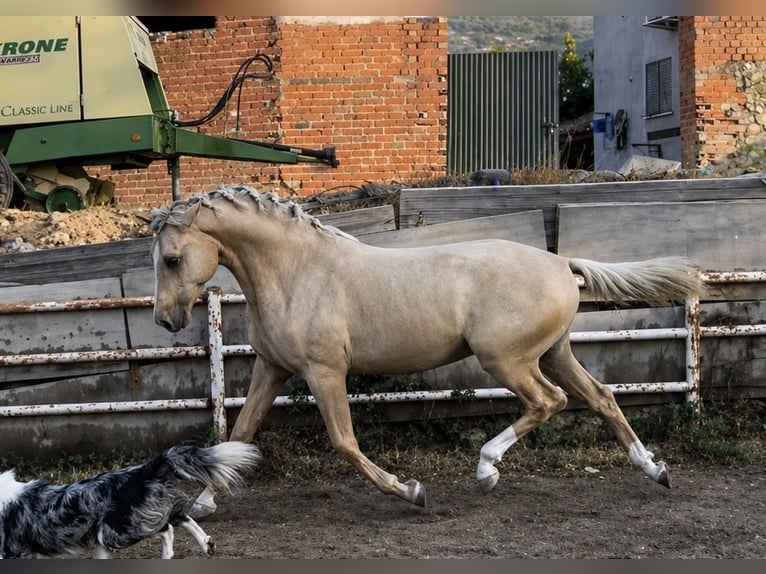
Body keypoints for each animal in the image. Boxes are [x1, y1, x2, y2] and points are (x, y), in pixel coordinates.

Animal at [150, 184, 702, 516]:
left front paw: (410, 491)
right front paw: (201, 505)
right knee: (602, 398)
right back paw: (655, 470)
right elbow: (238, 434)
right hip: (554, 354)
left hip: (507, 359)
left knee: (549, 402)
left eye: (173, 259)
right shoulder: (273, 369)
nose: (165, 319)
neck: (296, 271)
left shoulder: (324, 371)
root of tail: (561, 263)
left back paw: (485, 471)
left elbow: (344, 442)